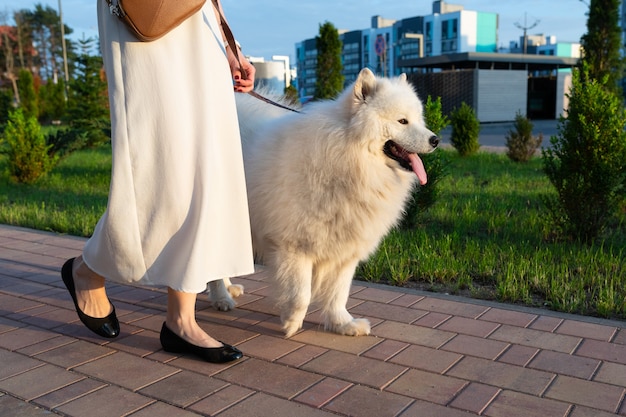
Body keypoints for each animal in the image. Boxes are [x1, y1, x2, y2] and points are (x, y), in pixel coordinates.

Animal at [207, 66, 436, 336]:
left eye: (419, 120)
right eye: (402, 121)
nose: (435, 140)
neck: (346, 157)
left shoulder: (345, 247)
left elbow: (338, 293)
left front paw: (342, 324)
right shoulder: (294, 246)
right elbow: (301, 294)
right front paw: (291, 322)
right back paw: (222, 298)